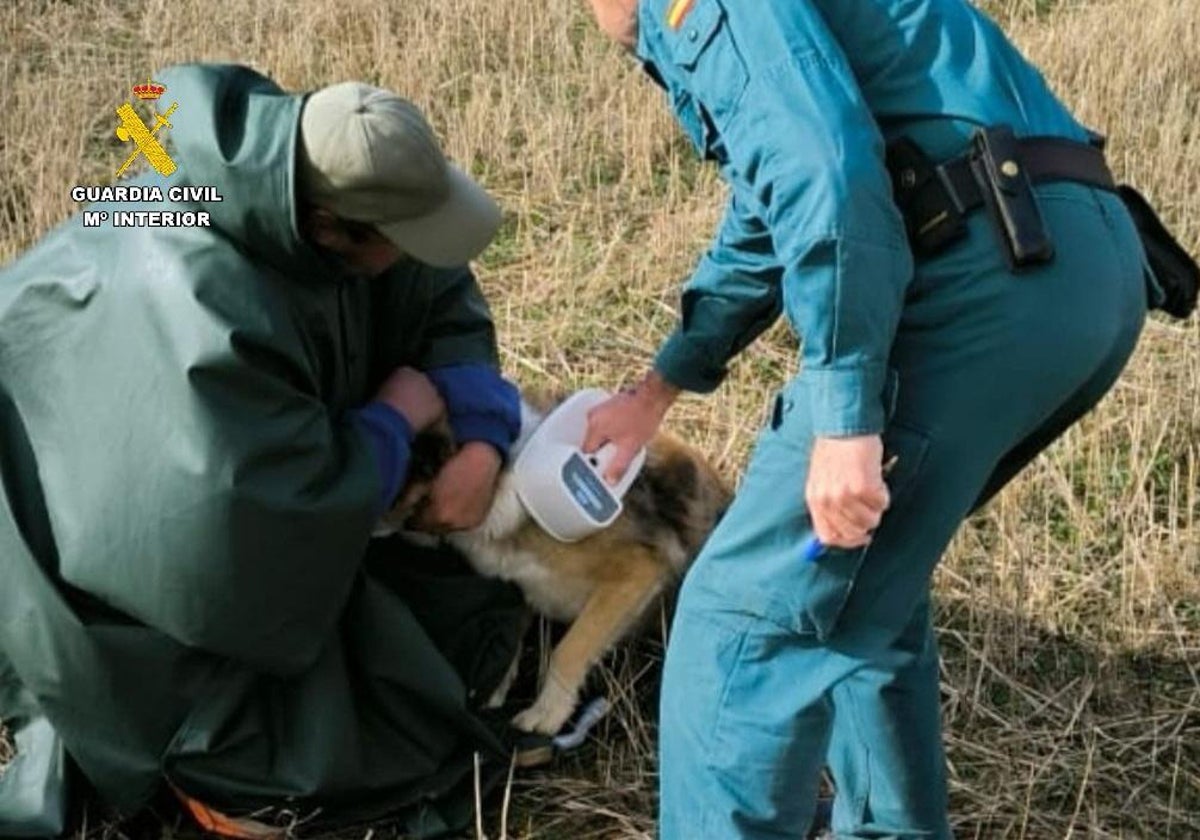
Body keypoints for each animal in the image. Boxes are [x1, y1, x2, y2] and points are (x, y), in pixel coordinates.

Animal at [379, 393, 724, 734]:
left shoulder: (637, 571)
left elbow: (569, 650)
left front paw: (547, 714)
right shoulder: (518, 587)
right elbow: (510, 638)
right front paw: (495, 691)